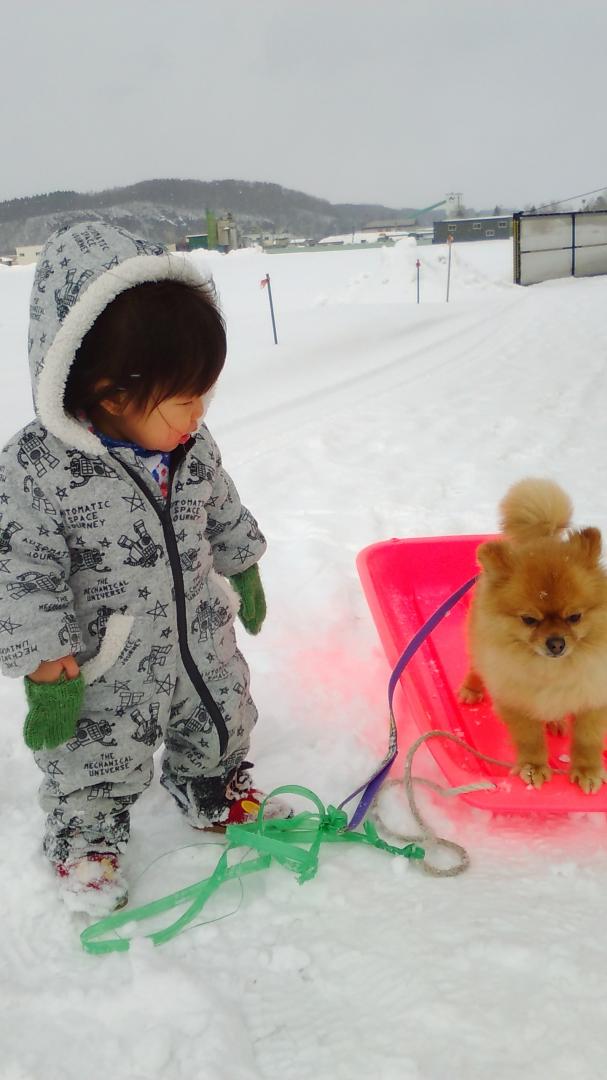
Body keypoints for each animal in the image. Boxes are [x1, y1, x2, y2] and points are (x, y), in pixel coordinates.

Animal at [455, 481, 604, 794]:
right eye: (529, 620)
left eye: (575, 617)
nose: (556, 643)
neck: (551, 671)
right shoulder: (516, 701)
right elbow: (529, 739)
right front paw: (533, 768)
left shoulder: (594, 698)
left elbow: (588, 739)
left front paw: (586, 771)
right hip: (478, 644)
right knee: (476, 666)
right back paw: (472, 689)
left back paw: (556, 721)